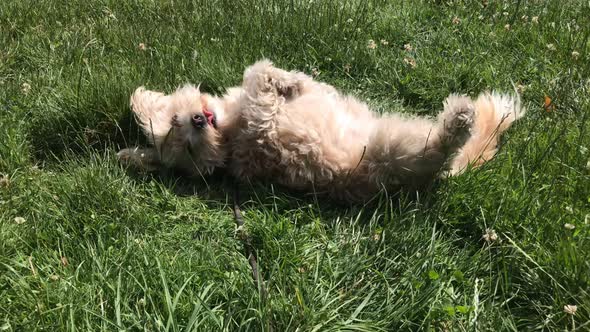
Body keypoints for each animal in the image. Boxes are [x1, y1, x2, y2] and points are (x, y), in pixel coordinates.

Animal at [119, 59, 528, 202]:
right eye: (188, 149)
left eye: (176, 118)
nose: (198, 121)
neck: (230, 130)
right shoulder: (261, 130)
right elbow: (257, 77)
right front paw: (278, 80)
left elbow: (272, 79)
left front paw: (293, 82)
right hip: (400, 148)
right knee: (444, 147)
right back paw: (459, 118)